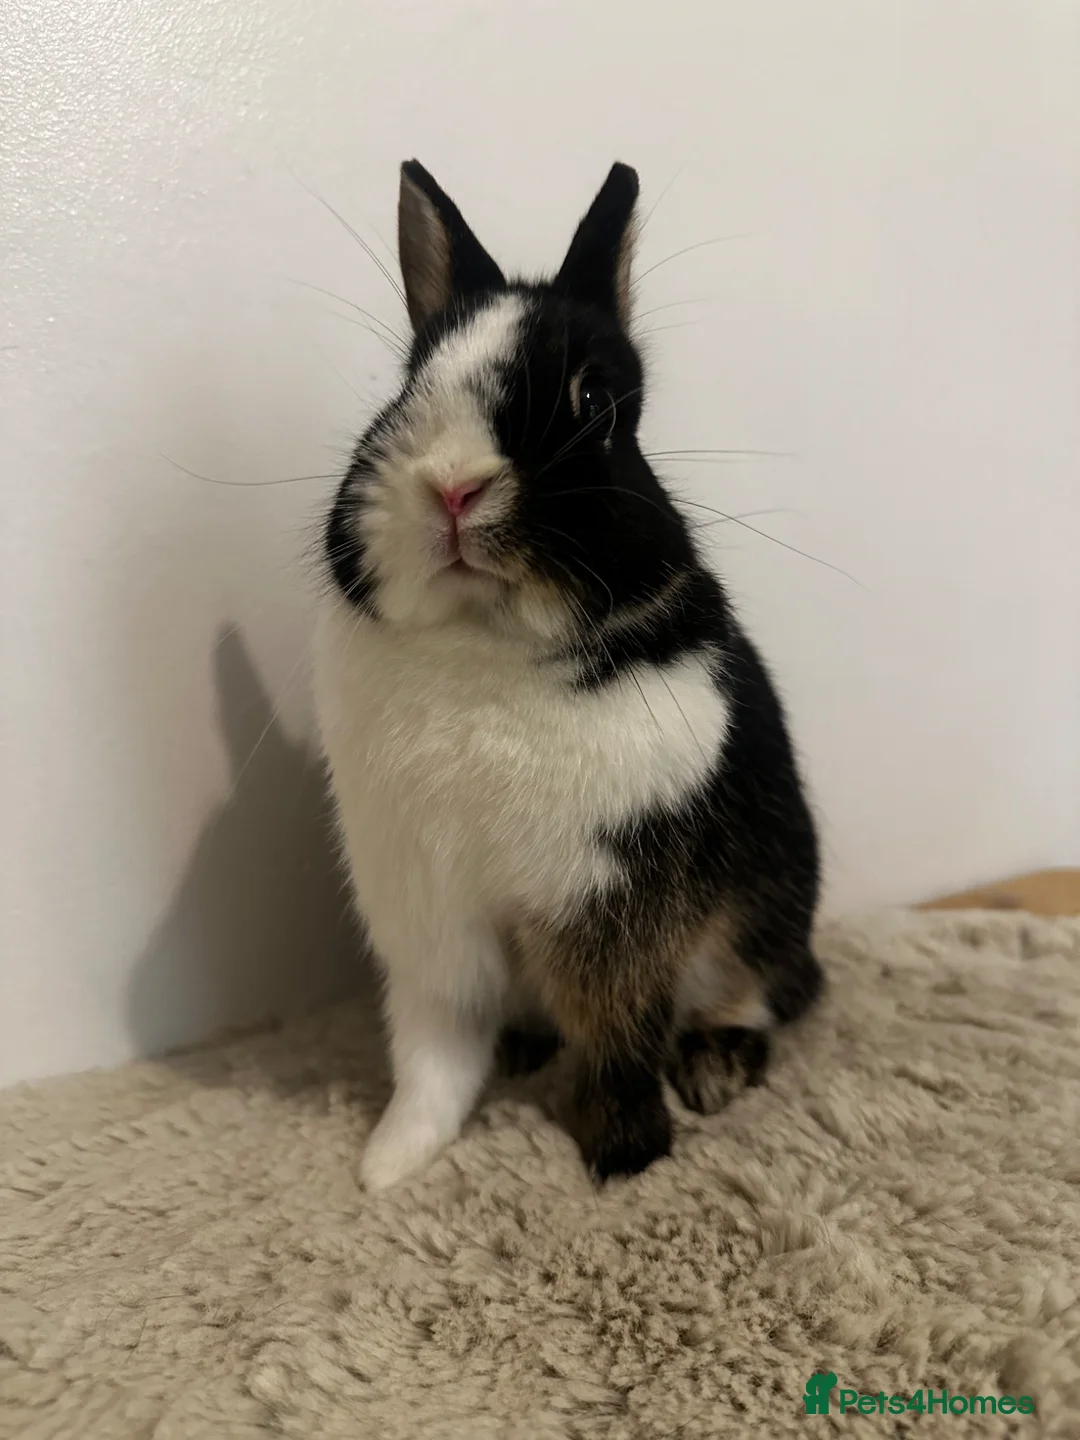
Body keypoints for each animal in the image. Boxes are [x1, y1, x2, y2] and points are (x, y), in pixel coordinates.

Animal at [313, 159, 823, 1192]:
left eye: (596, 404)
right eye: (410, 383)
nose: (453, 486)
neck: (483, 644)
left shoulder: (612, 908)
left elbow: (619, 1038)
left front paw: (624, 1158)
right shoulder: (430, 923)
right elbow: (433, 1055)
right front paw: (391, 1165)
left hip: (768, 909)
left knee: (759, 995)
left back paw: (711, 1073)